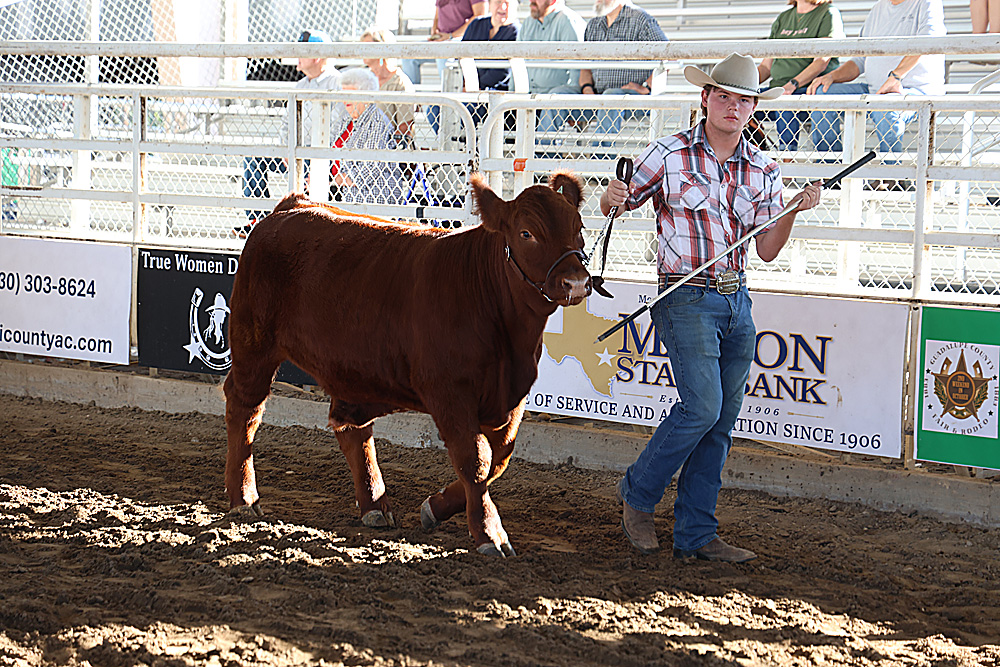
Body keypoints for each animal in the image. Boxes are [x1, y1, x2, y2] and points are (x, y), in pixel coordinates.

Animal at [223, 172, 591, 557]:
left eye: (578, 227)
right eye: (526, 233)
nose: (577, 281)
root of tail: (293, 206)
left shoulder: (514, 394)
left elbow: (498, 458)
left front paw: (437, 506)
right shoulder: (449, 391)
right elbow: (475, 460)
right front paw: (490, 533)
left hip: (351, 371)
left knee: (351, 427)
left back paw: (374, 504)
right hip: (253, 343)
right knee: (245, 409)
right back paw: (244, 499)